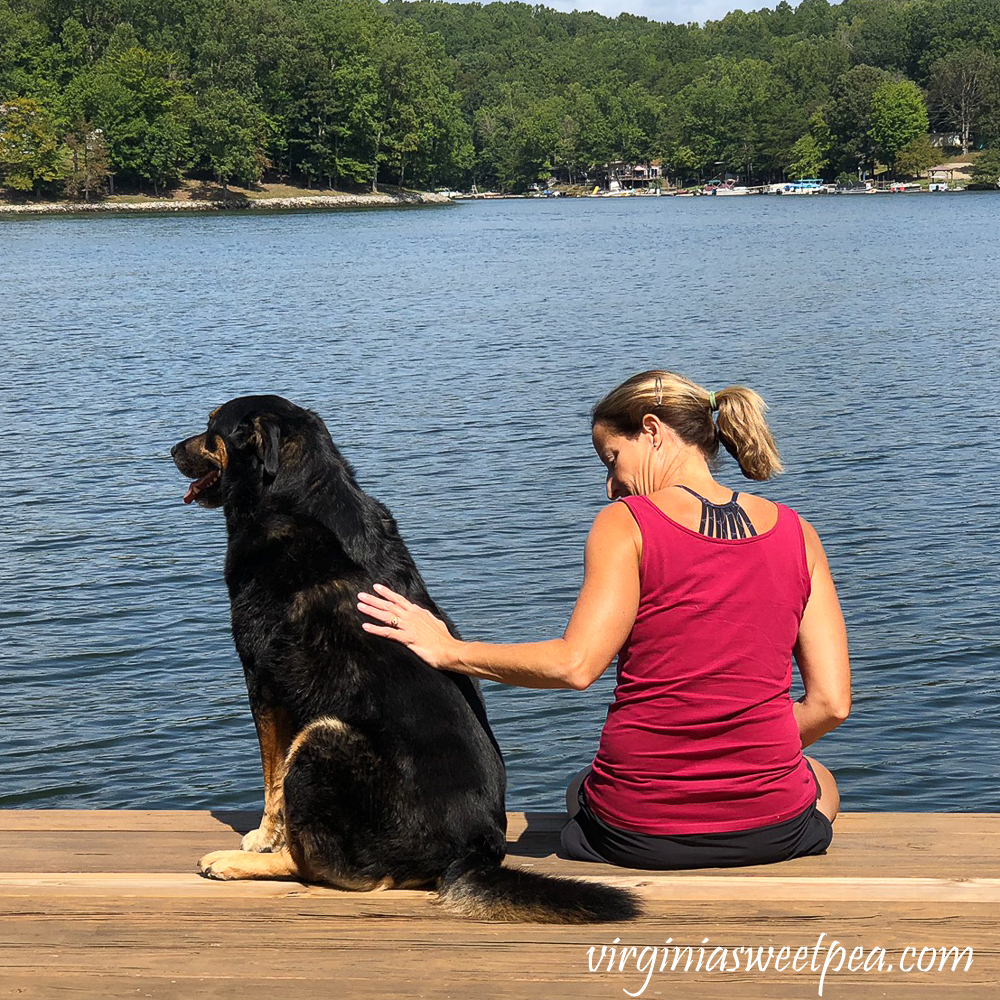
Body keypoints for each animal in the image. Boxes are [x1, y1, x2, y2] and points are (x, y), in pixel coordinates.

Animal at [172, 396, 640, 920]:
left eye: (212, 426)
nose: (170, 450)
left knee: (321, 864)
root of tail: (474, 850)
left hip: (323, 736)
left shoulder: (262, 679)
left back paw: (234, 862)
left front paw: (259, 839)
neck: (297, 495)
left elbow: (272, 780)